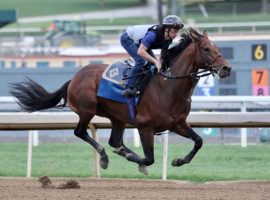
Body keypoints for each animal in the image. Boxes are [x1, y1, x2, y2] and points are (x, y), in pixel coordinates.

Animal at [10, 28, 230, 175]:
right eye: (206, 48)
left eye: (217, 46)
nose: (226, 68)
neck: (168, 86)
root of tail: (74, 78)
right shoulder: (144, 126)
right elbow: (149, 158)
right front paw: (137, 159)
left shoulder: (178, 123)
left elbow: (199, 141)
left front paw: (177, 161)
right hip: (87, 110)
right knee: (80, 132)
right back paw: (105, 157)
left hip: (118, 118)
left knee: (114, 140)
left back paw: (119, 151)